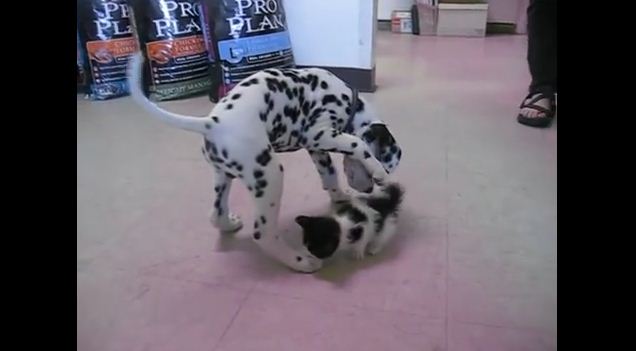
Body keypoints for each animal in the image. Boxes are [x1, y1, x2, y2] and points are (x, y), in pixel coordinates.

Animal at [128, 52, 402, 274]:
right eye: (387, 163)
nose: (370, 189)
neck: (347, 99)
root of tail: (212, 123)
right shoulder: (318, 134)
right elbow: (357, 144)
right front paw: (378, 171)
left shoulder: (317, 148)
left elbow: (330, 174)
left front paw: (340, 195)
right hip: (270, 176)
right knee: (263, 234)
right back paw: (300, 261)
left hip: (224, 176)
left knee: (215, 214)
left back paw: (229, 224)